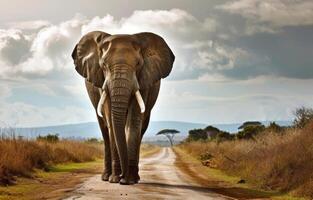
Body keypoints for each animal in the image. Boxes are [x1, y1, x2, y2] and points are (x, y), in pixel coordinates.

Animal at [71, 30, 174, 185]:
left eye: (138, 64)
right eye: (104, 65)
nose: (122, 177)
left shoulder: (144, 80)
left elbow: (133, 122)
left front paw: (128, 180)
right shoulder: (102, 82)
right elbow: (111, 123)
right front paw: (115, 179)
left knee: (140, 129)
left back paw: (135, 177)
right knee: (105, 129)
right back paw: (106, 177)